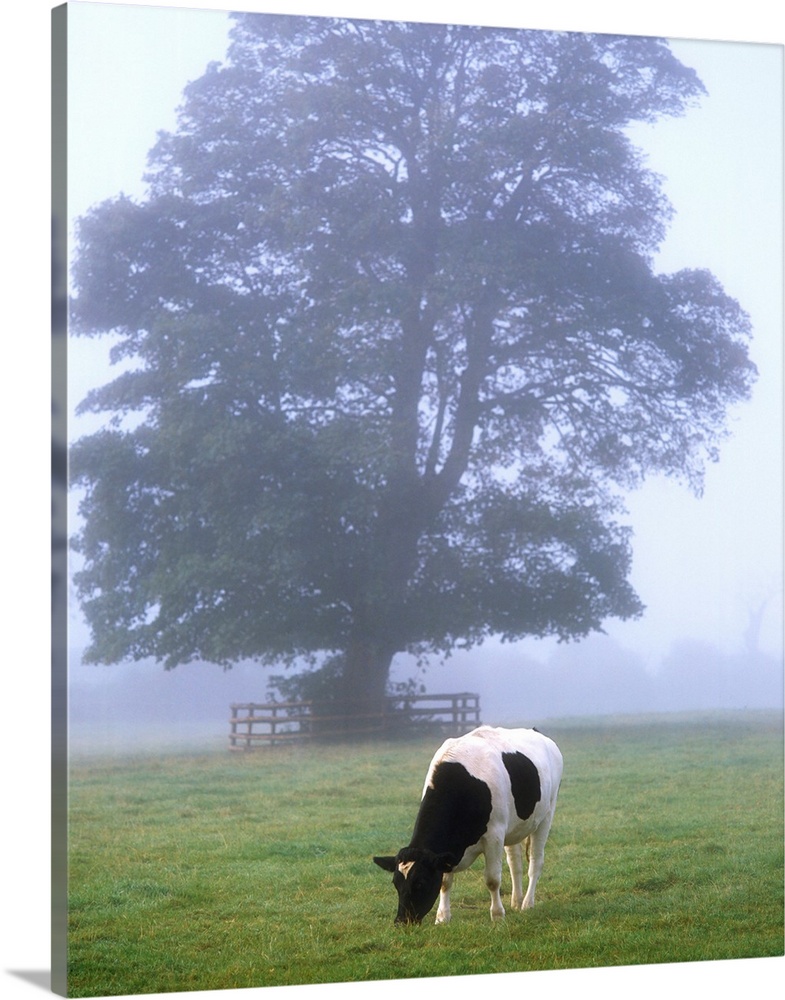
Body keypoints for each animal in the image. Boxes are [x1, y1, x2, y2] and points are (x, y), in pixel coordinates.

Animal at [373, 725, 563, 925]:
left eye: (420, 882)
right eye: (395, 883)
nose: (401, 921)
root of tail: (536, 732)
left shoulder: (494, 835)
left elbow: (492, 879)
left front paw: (497, 915)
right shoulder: (447, 852)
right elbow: (444, 882)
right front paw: (443, 917)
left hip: (546, 816)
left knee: (535, 862)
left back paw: (527, 903)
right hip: (514, 827)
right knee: (515, 864)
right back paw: (516, 902)